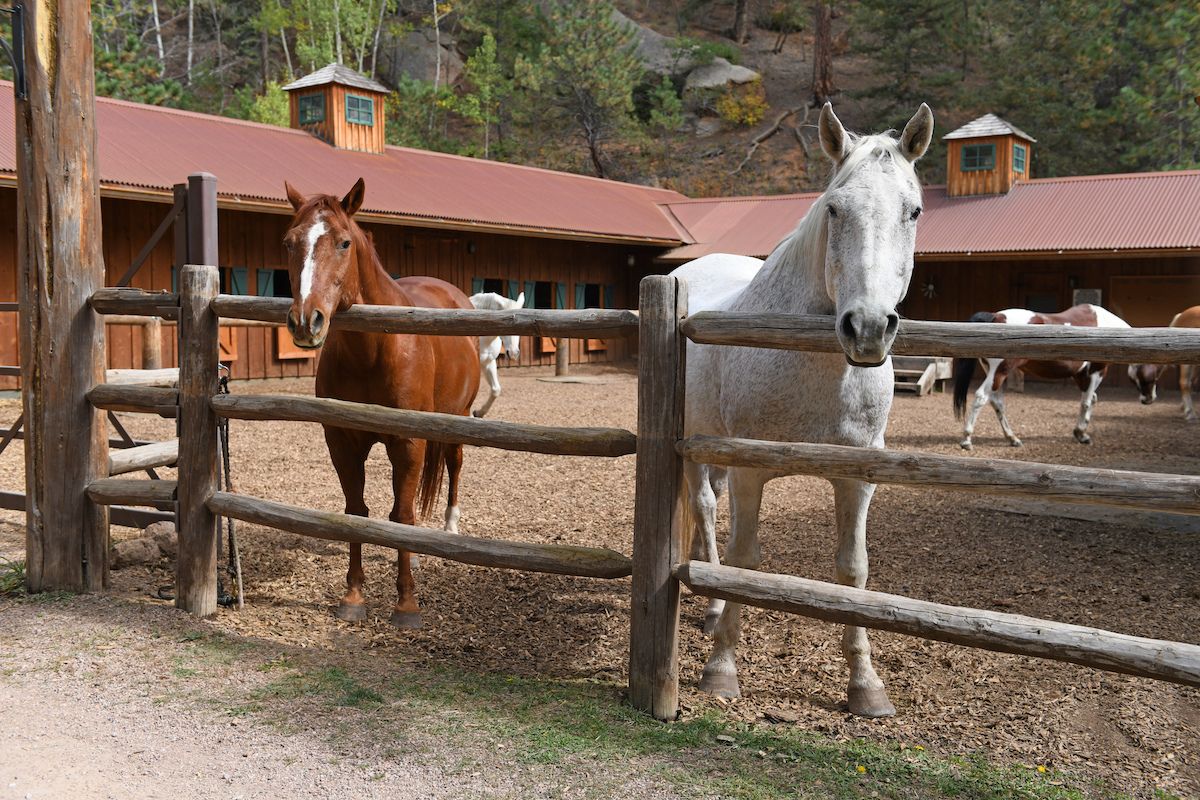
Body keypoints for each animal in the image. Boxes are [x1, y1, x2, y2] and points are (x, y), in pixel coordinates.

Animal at [282, 178, 480, 628]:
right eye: (289, 242)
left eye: (343, 243)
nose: (306, 321)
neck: (373, 348)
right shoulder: (342, 441)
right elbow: (357, 511)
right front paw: (354, 595)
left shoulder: (407, 442)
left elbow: (401, 515)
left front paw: (406, 603)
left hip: (455, 419)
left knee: (453, 466)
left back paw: (449, 532)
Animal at [672, 101, 935, 718]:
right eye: (835, 208)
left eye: (912, 210)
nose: (868, 328)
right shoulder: (750, 470)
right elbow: (745, 559)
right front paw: (721, 670)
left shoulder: (857, 477)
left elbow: (851, 568)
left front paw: (865, 684)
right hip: (695, 446)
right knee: (705, 509)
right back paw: (712, 611)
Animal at [952, 304, 1136, 450]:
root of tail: (995, 316)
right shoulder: (1096, 371)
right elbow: (1087, 402)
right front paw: (1081, 434)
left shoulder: (1080, 375)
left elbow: (1091, 399)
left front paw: (1081, 432)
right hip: (999, 372)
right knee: (981, 397)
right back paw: (967, 439)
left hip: (996, 374)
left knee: (997, 402)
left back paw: (1013, 438)